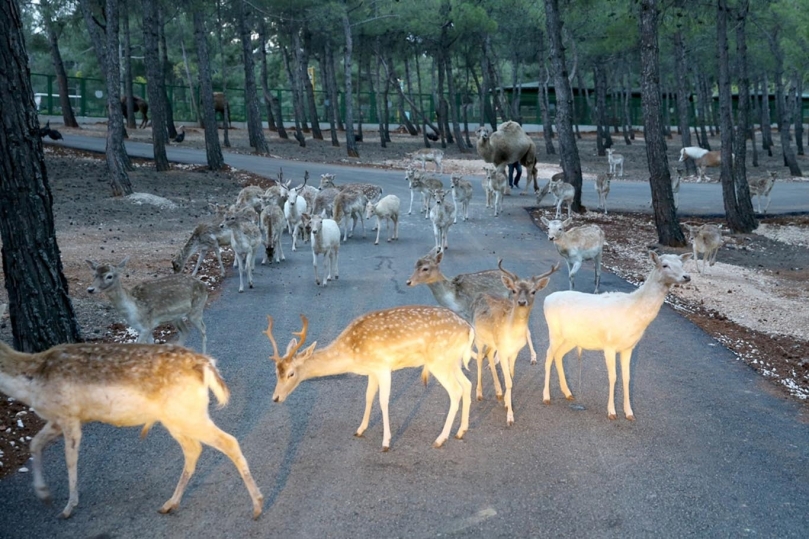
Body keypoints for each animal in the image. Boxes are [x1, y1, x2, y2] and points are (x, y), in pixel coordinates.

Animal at [0, 340, 262, 520]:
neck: (31, 384)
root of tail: (206, 365)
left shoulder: (69, 416)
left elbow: (70, 460)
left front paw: (68, 507)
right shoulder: (56, 419)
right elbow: (34, 443)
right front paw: (44, 494)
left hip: (188, 414)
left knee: (228, 442)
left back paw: (257, 505)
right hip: (176, 418)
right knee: (194, 450)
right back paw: (169, 504)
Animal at [266, 308, 474, 452]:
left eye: (291, 373)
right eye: (276, 372)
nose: (275, 398)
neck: (351, 354)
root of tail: (469, 329)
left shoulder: (383, 367)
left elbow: (383, 401)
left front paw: (385, 443)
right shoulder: (372, 371)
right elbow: (368, 397)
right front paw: (360, 430)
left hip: (438, 361)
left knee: (456, 391)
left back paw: (440, 439)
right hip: (453, 361)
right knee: (467, 385)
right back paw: (461, 431)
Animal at [404, 249, 544, 400]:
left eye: (425, 268)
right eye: (415, 265)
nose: (408, 281)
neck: (452, 297)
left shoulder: (470, 314)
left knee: (526, 329)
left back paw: (532, 358)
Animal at [474, 262, 556, 426]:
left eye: (533, 291)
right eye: (514, 290)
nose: (522, 302)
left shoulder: (514, 351)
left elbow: (511, 376)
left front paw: (506, 401)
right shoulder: (503, 351)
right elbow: (509, 382)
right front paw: (510, 417)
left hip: (493, 343)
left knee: (489, 355)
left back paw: (498, 391)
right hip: (479, 338)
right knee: (480, 358)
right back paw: (479, 393)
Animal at [540, 252, 692, 422]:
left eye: (682, 263)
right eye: (665, 265)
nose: (687, 276)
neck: (633, 312)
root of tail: (546, 299)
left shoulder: (628, 347)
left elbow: (627, 378)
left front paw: (629, 413)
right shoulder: (609, 345)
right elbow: (613, 377)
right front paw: (611, 412)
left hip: (571, 338)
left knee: (558, 355)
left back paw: (568, 393)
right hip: (554, 332)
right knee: (548, 356)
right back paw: (546, 397)